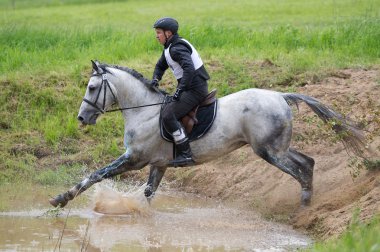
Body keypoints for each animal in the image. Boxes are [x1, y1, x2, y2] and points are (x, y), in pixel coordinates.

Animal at [48, 60, 366, 209]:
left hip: (268, 151)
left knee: (300, 170)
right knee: (307, 163)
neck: (144, 111)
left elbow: (95, 175)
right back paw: (306, 203)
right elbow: (148, 193)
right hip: (278, 148)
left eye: (92, 88)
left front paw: (61, 198)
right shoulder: (158, 164)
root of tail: (280, 96)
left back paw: (304, 205)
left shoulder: (134, 159)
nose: (82, 118)